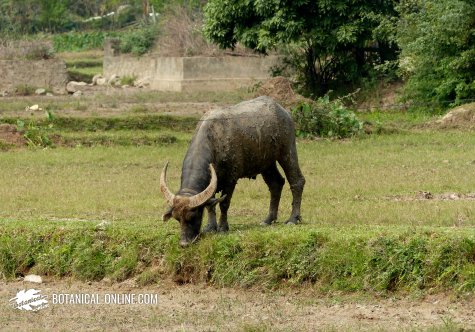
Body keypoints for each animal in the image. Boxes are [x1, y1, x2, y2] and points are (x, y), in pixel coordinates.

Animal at [162, 96, 306, 246]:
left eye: (194, 216)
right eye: (177, 218)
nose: (185, 243)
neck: (214, 140)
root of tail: (283, 111)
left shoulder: (231, 178)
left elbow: (224, 203)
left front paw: (222, 227)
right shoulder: (213, 181)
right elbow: (211, 205)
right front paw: (210, 227)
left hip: (287, 151)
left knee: (297, 181)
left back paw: (293, 219)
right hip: (267, 163)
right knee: (276, 184)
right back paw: (268, 220)